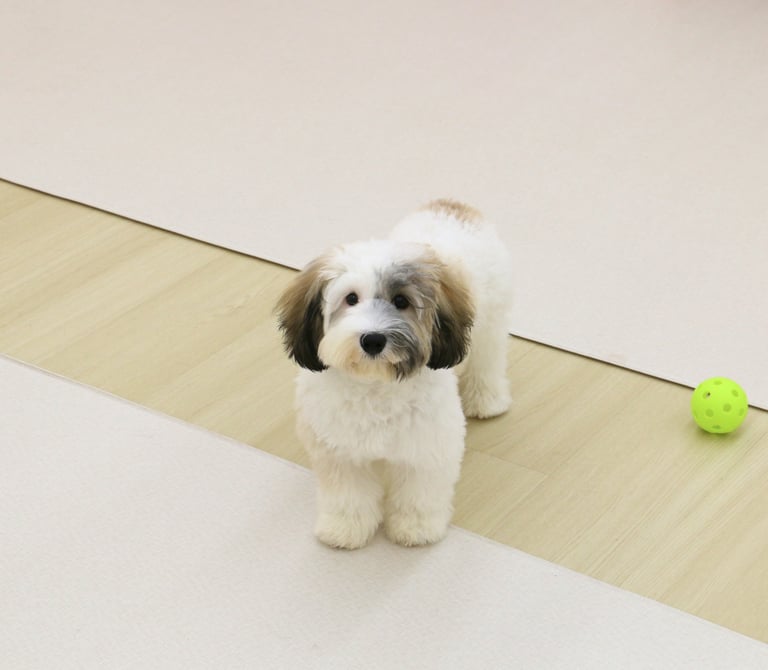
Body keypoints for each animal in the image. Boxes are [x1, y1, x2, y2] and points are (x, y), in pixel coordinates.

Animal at [276, 200, 512, 549]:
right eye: (351, 298)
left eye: (401, 301)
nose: (373, 339)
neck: (375, 385)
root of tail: (452, 205)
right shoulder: (339, 451)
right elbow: (348, 494)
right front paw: (345, 528)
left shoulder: (429, 445)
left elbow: (419, 491)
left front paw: (416, 527)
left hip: (491, 320)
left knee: (488, 357)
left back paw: (487, 400)